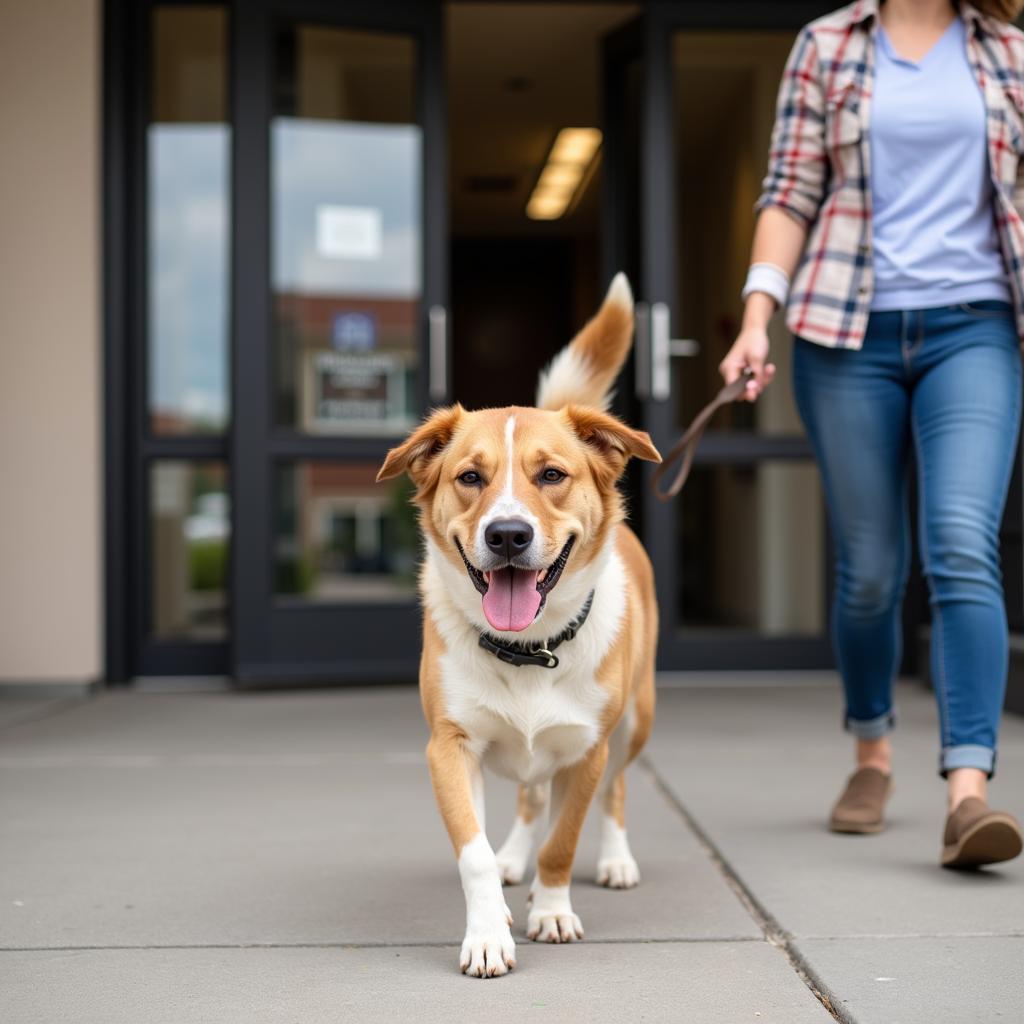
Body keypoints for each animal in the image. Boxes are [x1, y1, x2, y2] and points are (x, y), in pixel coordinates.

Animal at [380, 276, 659, 978]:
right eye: (469, 477)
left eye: (552, 475)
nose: (508, 534)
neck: (527, 650)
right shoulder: (449, 748)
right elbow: (473, 852)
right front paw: (487, 932)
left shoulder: (587, 750)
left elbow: (564, 841)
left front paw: (552, 910)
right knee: (531, 799)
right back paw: (513, 860)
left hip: (635, 721)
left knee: (614, 793)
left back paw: (615, 858)